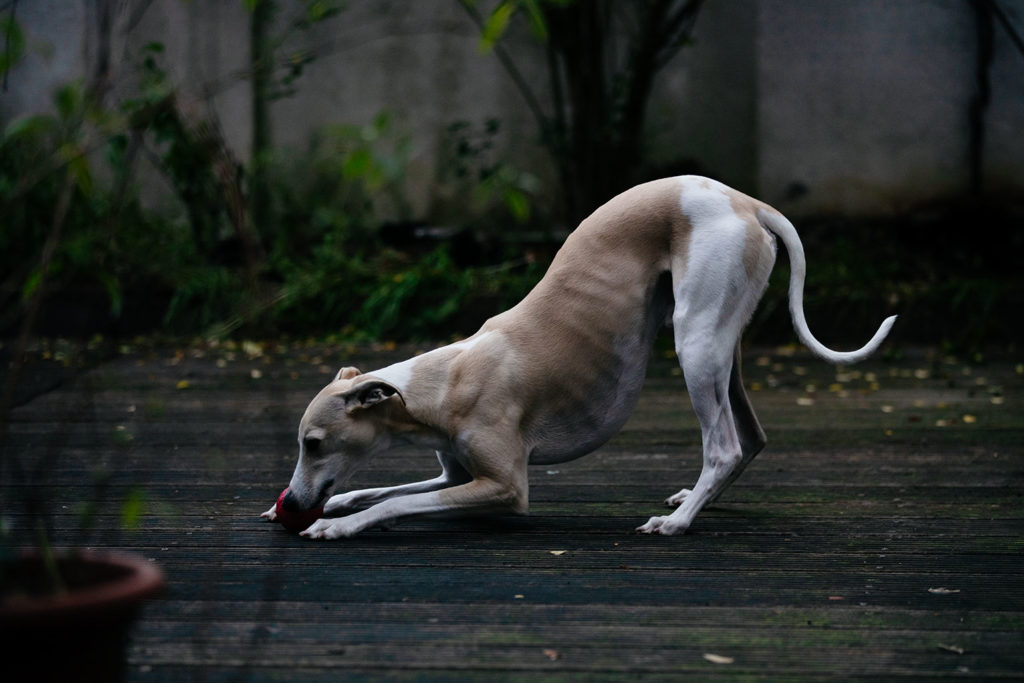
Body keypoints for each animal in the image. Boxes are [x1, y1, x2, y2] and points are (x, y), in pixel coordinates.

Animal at [264, 176, 897, 540]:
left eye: (311, 444)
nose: (290, 501)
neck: (441, 382)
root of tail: (746, 201)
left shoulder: (506, 485)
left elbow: (394, 505)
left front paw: (337, 527)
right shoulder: (454, 472)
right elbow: (384, 492)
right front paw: (338, 502)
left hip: (695, 341)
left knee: (723, 446)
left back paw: (677, 522)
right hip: (724, 342)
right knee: (752, 437)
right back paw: (692, 500)